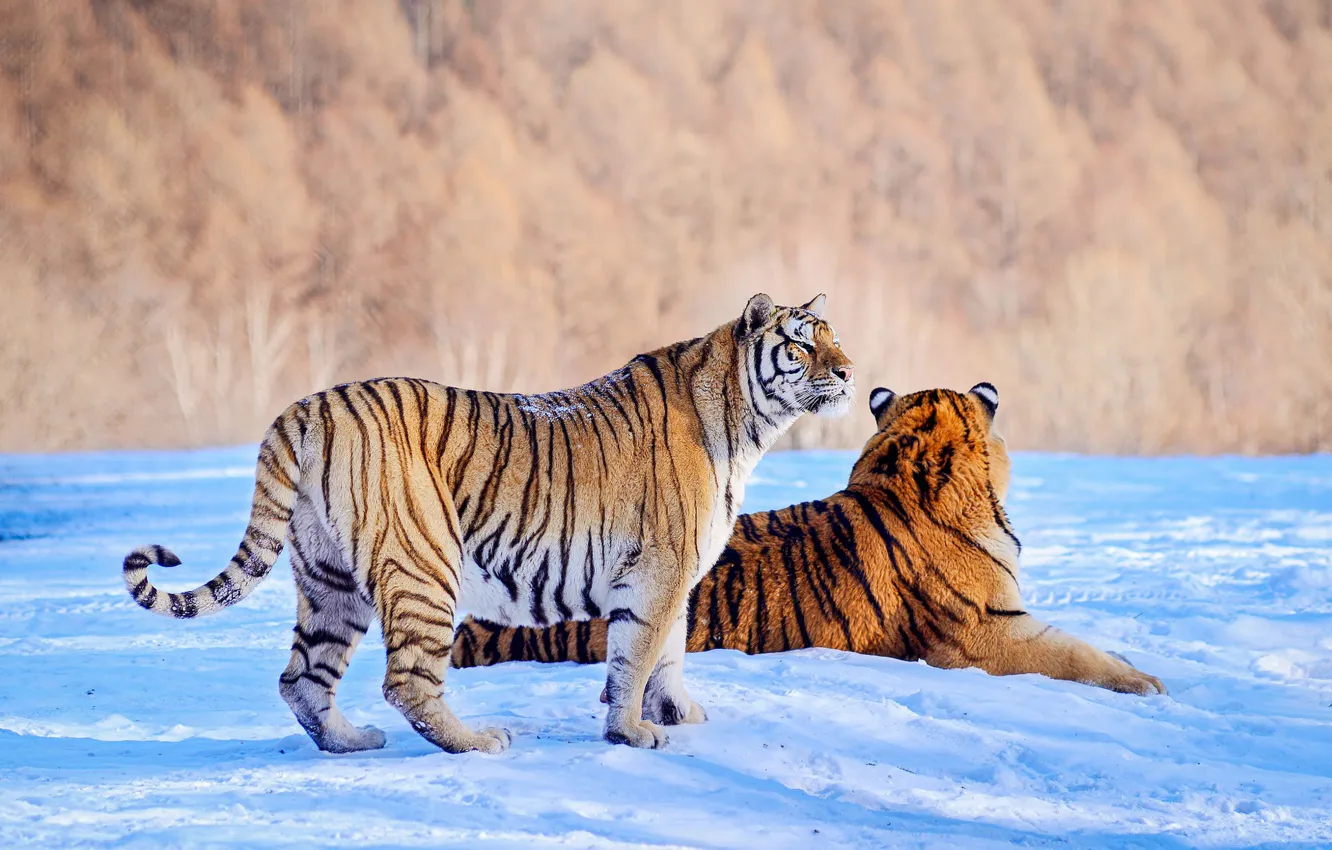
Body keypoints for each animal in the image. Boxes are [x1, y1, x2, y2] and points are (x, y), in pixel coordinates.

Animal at [122, 293, 856, 754]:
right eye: (800, 345)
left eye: (836, 338)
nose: (849, 372)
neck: (745, 423)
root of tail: (308, 406)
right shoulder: (658, 569)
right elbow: (637, 654)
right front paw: (631, 732)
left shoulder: (668, 577)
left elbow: (666, 652)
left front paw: (676, 713)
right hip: (424, 564)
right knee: (406, 680)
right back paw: (476, 742)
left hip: (330, 579)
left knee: (302, 677)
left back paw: (350, 743)